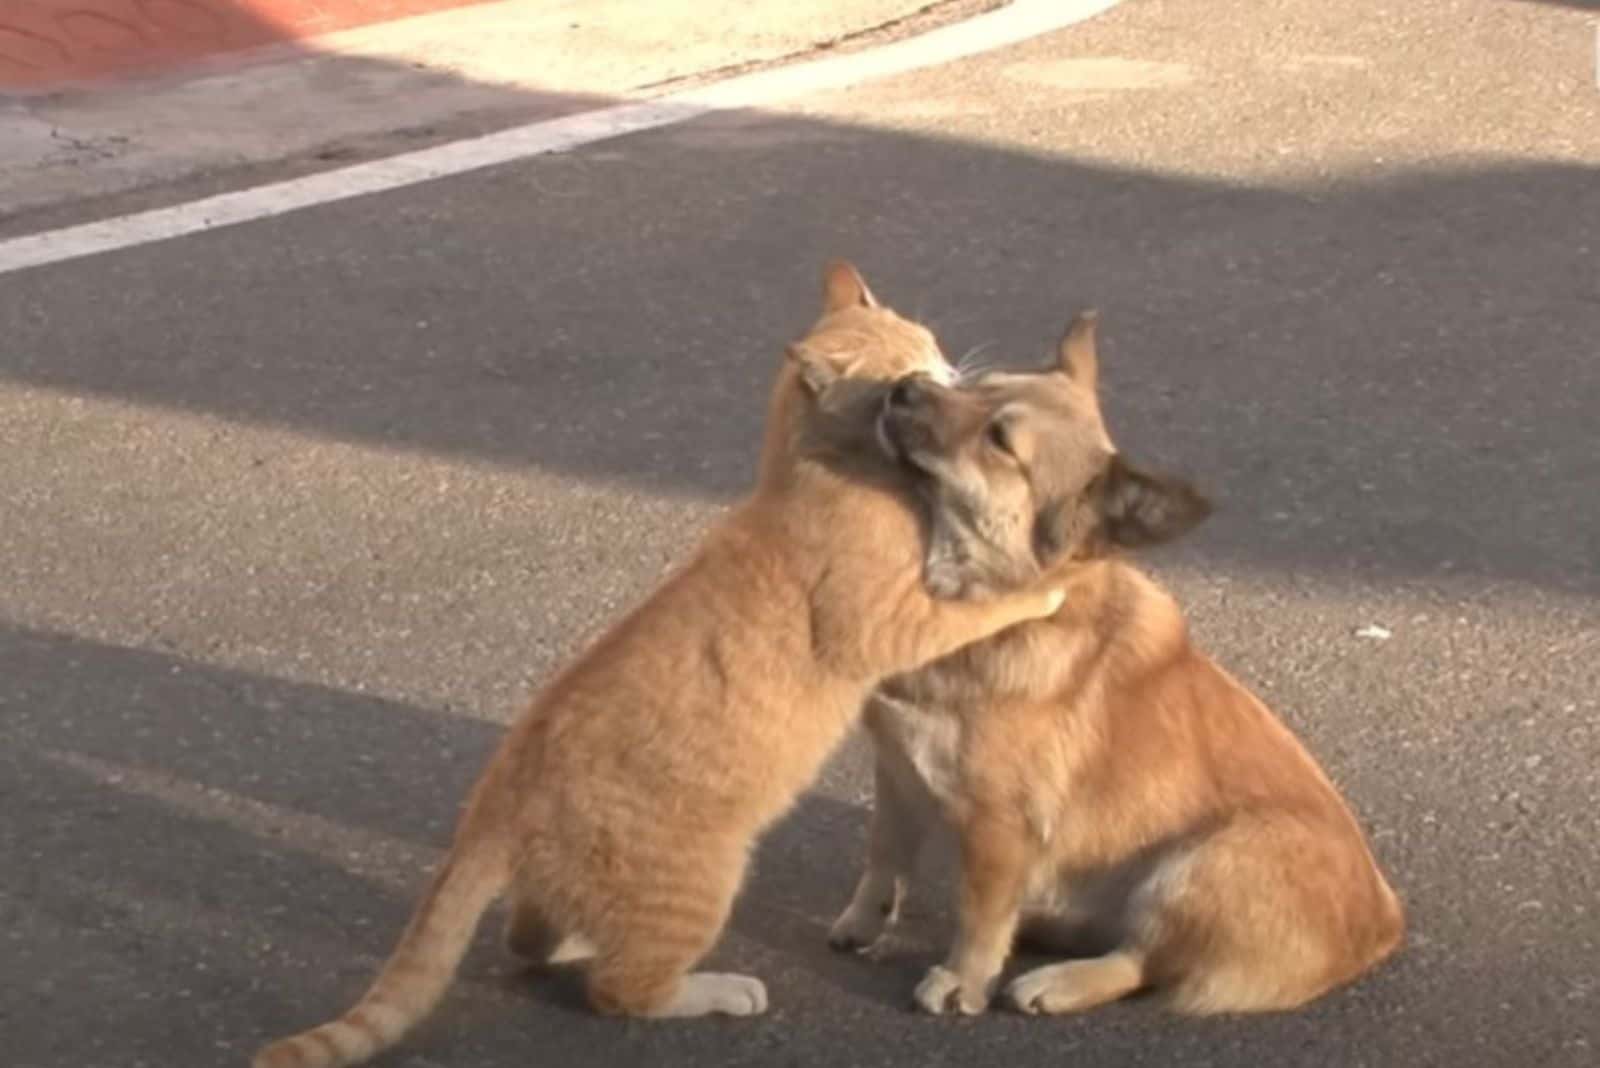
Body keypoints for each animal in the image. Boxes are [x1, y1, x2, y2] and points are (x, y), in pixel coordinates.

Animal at [256, 260, 1068, 1068]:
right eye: (905, 377)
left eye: (930, 347)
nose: (946, 377)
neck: (812, 469)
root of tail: (495, 798)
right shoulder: (892, 625)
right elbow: (984, 605)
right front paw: (1045, 587)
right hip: (702, 883)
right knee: (623, 991)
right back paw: (718, 990)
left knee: (530, 939)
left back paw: (575, 942)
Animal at [832, 310, 1408, 1016]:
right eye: (978, 386)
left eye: (1000, 441)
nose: (905, 387)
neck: (990, 612)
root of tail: (1384, 924)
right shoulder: (897, 774)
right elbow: (883, 860)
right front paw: (863, 921)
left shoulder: (1000, 826)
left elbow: (980, 916)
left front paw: (963, 981)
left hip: (1202, 862)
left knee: (1144, 959)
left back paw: (1057, 981)